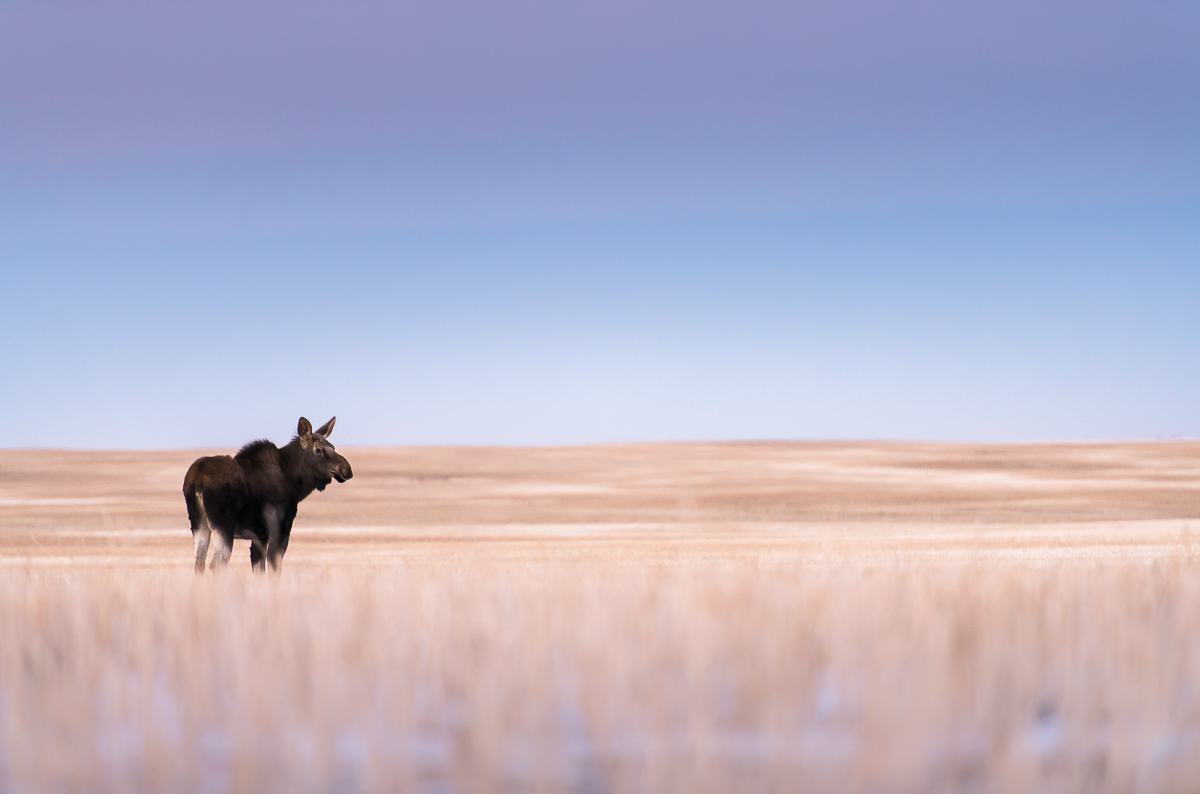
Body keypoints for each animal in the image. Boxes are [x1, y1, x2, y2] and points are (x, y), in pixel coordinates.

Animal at [183, 417, 353, 573]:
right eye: (318, 450)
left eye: (333, 447)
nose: (346, 470)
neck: (296, 484)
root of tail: (196, 482)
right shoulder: (281, 528)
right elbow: (274, 568)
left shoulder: (260, 535)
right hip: (224, 526)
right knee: (216, 564)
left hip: (199, 525)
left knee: (199, 564)